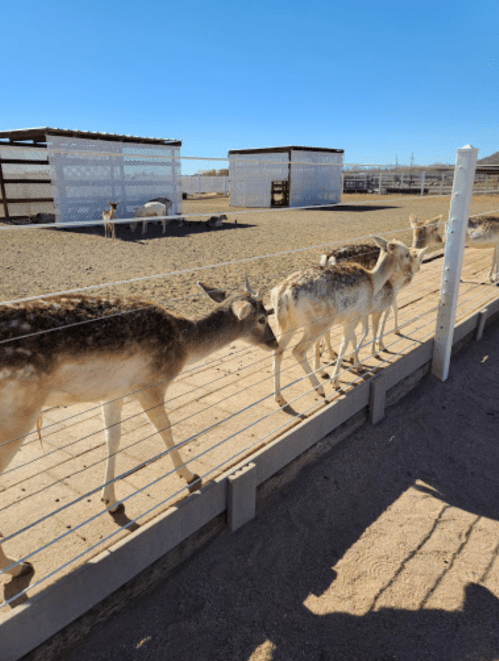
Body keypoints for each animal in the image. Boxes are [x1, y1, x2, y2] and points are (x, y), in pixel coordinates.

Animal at [0, 278, 277, 576]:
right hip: (17, 414)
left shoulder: (113, 393)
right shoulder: (150, 385)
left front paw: (110, 501)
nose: (274, 342)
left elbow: (113, 437)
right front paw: (190, 475)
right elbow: (166, 429)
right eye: (262, 318)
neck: (185, 343)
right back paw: (17, 566)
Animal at [271, 237, 413, 408]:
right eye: (406, 253)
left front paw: (356, 364)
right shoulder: (355, 315)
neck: (374, 281)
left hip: (286, 324)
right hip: (316, 324)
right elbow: (345, 342)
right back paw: (319, 389)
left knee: (278, 351)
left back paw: (280, 398)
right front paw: (335, 381)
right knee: (297, 351)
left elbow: (352, 338)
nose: (410, 272)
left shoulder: (351, 317)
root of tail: (282, 294)